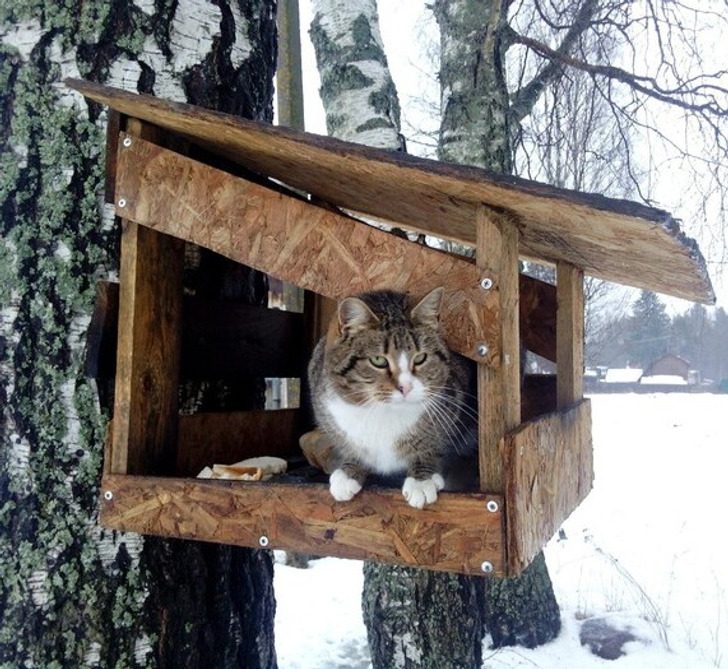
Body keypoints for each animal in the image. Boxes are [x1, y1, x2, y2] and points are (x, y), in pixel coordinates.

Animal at [306, 284, 478, 508]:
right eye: (378, 360)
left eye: (420, 358)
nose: (405, 387)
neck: (383, 411)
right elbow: (349, 445)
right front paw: (349, 470)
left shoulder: (453, 398)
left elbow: (435, 442)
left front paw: (421, 480)